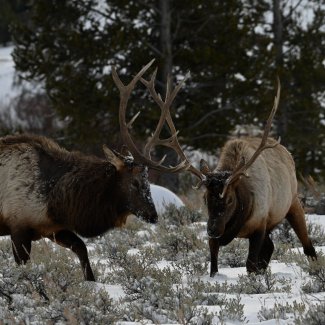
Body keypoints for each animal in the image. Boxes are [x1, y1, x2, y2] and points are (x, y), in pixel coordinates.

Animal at [0, 60, 192, 280]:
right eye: (135, 182)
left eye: (148, 182)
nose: (153, 215)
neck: (56, 200)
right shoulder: (18, 225)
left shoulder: (52, 227)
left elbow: (82, 248)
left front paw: (91, 281)